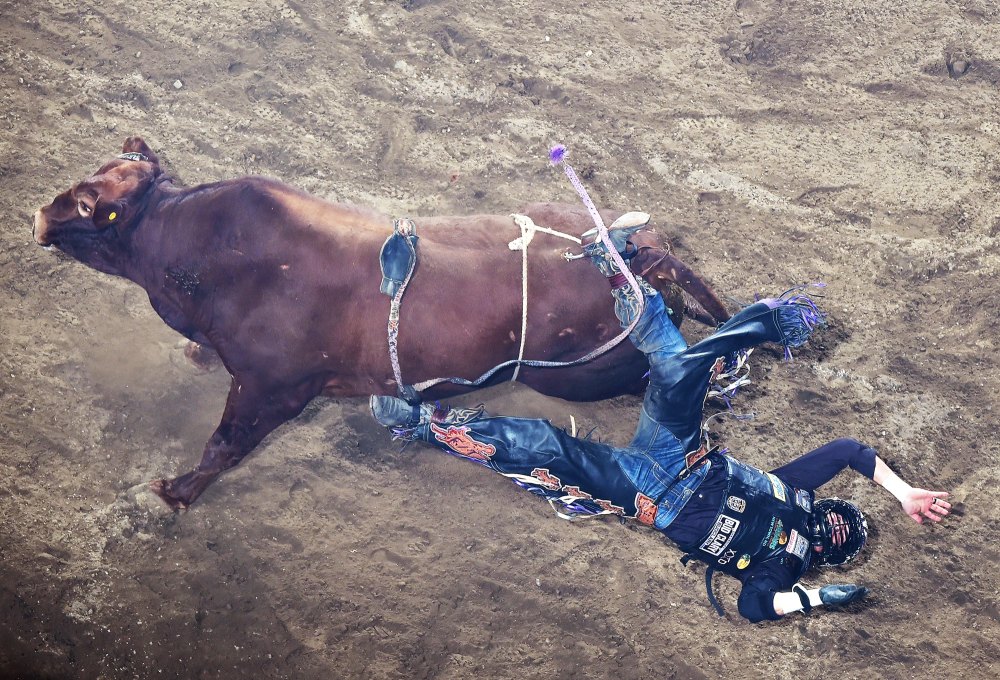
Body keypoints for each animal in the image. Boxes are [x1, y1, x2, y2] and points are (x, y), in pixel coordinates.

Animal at [32, 137, 730, 510]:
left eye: (92, 206)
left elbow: (224, 445)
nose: (39, 216)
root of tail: (640, 250)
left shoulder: (272, 389)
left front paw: (175, 493)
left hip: (581, 376)